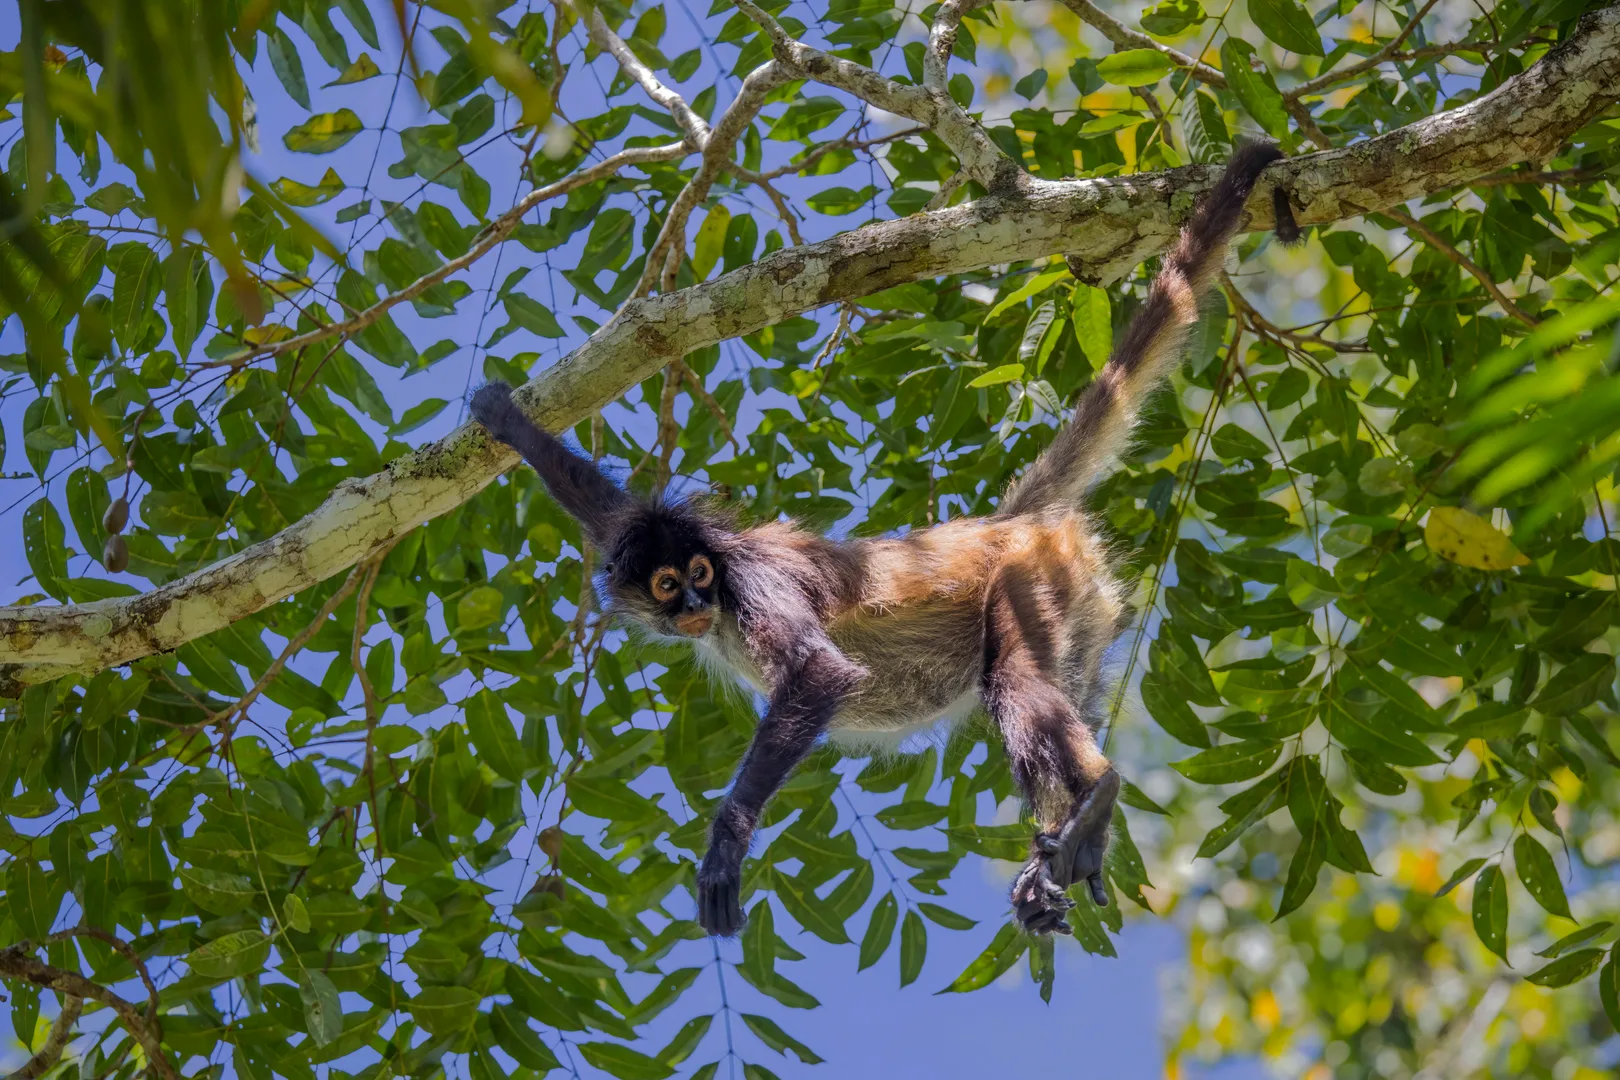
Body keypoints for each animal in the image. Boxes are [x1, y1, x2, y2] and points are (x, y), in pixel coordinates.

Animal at [469, 141, 1290, 938]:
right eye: (670, 584)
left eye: (698, 574)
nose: (696, 603)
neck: (724, 585)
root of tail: (1002, 523)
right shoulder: (639, 532)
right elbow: (601, 503)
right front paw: (505, 420)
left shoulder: (753, 580)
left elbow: (820, 674)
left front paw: (727, 844)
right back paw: (1062, 853)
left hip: (1033, 573)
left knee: (1013, 682)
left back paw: (1100, 793)